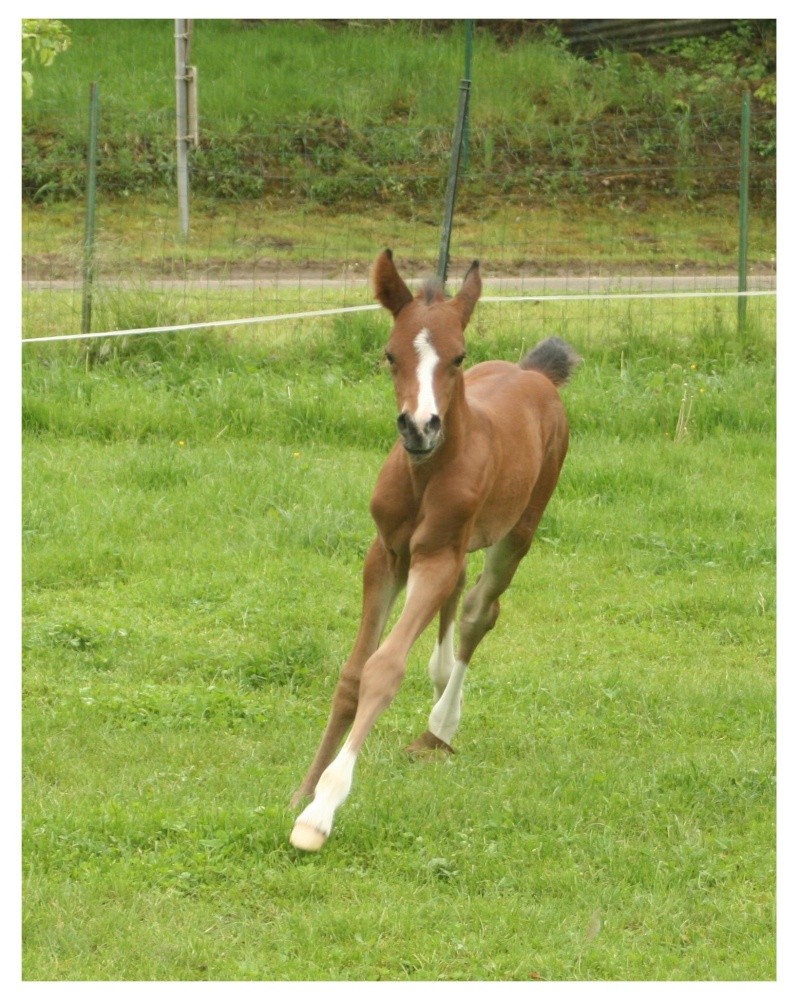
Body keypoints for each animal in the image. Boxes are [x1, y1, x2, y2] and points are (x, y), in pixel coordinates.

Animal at [290, 250, 580, 852]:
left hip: (518, 532)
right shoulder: (387, 556)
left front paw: (320, 813)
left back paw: (441, 725)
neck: (425, 473)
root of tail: (535, 374)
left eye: (457, 357)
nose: (419, 426)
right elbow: (353, 672)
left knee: (478, 611)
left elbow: (384, 668)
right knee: (460, 603)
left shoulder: (434, 558)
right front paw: (302, 789)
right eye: (390, 354)